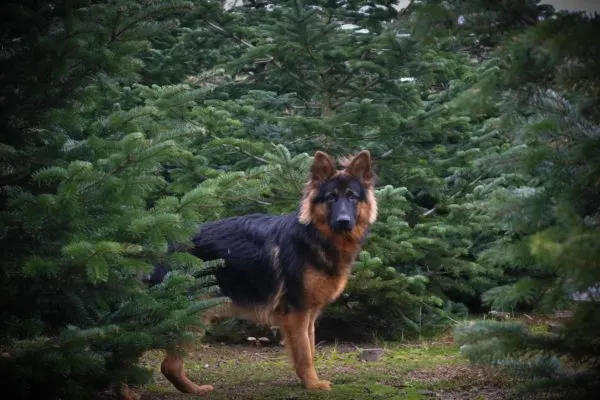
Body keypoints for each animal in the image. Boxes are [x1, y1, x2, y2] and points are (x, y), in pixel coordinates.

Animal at [157, 150, 378, 394]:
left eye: (352, 197)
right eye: (331, 198)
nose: (343, 221)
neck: (314, 237)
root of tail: (167, 246)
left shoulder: (309, 315)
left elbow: (310, 349)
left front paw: (307, 381)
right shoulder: (296, 313)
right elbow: (304, 354)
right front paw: (312, 384)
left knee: (168, 364)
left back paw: (193, 389)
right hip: (194, 316)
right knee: (167, 364)